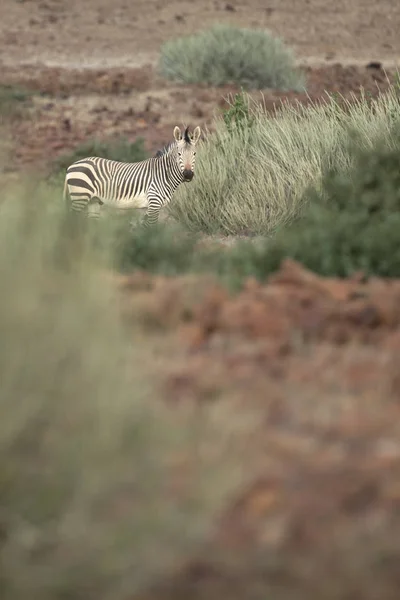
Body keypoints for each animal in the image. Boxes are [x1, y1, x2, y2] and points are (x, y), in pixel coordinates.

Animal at [63, 126, 202, 227]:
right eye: (179, 154)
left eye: (195, 153)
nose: (188, 174)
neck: (164, 174)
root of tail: (71, 166)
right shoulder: (154, 203)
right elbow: (151, 228)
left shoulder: (149, 207)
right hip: (80, 197)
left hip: (93, 201)